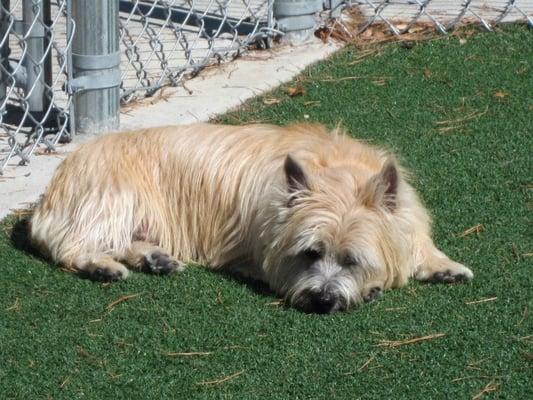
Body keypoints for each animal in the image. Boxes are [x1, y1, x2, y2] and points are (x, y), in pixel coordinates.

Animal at [29, 122, 472, 312]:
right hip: (111, 198)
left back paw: (155, 258)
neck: (336, 176)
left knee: (124, 241)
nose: (323, 300)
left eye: (352, 260)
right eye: (310, 254)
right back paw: (100, 266)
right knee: (75, 245)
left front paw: (443, 265)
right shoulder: (261, 251)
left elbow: (419, 243)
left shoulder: (406, 217)